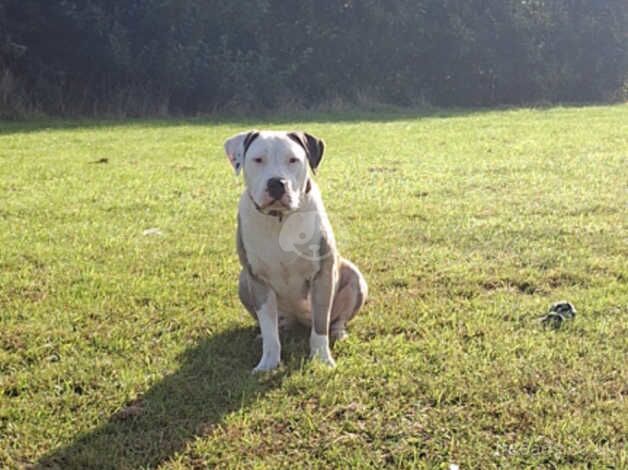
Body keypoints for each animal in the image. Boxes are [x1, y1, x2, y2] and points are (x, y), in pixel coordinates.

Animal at [224, 129, 368, 370]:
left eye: (293, 159)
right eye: (258, 159)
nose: (276, 183)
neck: (280, 219)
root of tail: (299, 321)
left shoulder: (322, 276)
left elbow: (320, 325)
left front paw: (322, 359)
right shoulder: (258, 279)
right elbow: (269, 330)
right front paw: (268, 364)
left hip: (354, 276)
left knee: (336, 320)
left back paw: (339, 333)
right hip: (243, 281)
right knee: (275, 324)